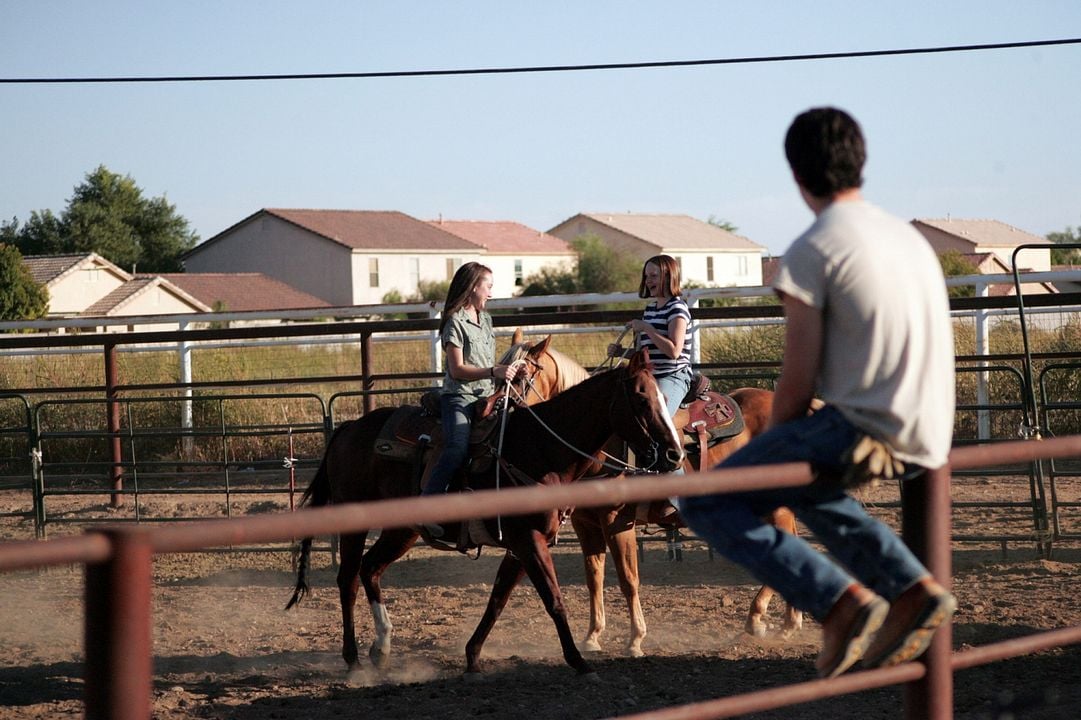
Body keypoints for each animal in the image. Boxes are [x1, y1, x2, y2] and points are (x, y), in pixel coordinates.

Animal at [283, 348, 678, 674]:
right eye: (641, 398)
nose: (673, 454)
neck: (540, 448)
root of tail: (348, 428)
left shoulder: (522, 545)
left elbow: (498, 599)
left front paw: (472, 656)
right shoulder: (528, 540)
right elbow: (554, 600)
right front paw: (579, 662)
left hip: (402, 530)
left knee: (370, 569)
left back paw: (382, 647)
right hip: (354, 520)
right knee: (347, 578)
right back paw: (352, 658)